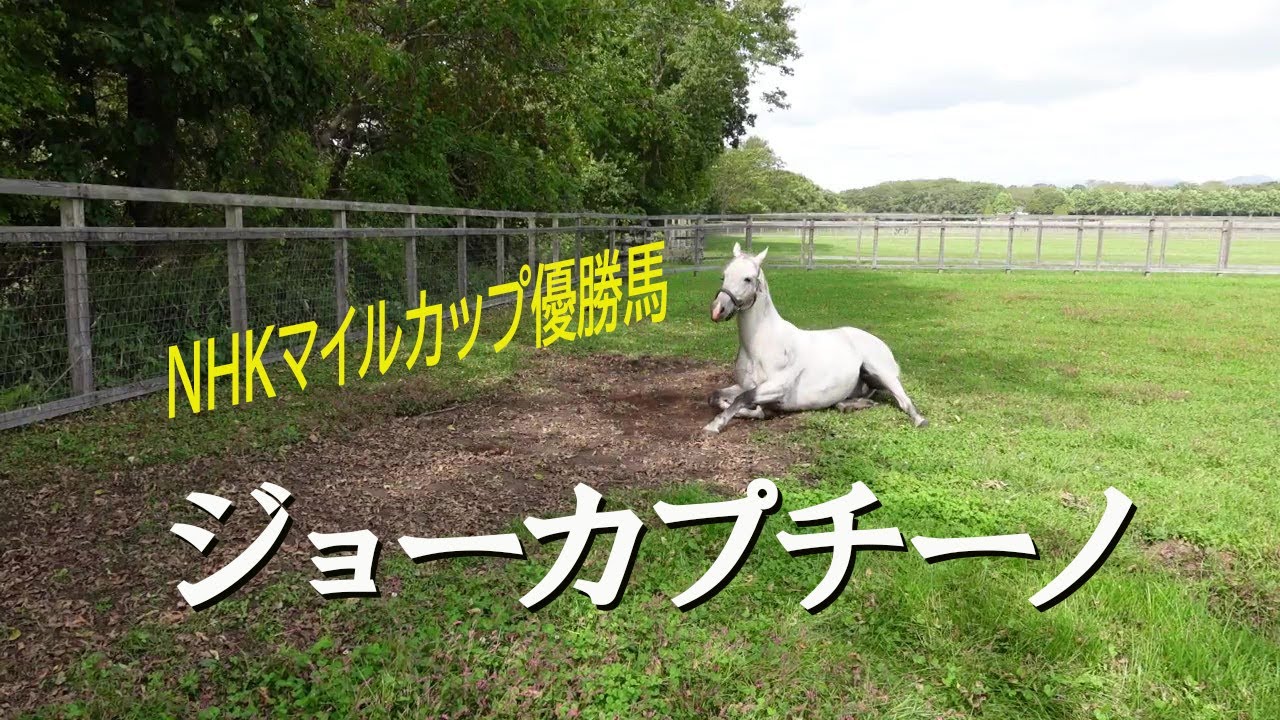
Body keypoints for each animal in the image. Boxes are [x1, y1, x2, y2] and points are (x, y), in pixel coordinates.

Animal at [703, 243, 929, 434]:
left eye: (748, 278)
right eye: (724, 276)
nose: (717, 310)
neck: (759, 346)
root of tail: (880, 343)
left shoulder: (777, 387)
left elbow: (744, 398)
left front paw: (714, 425)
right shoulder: (744, 385)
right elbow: (717, 396)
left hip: (882, 373)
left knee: (905, 403)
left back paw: (919, 420)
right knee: (848, 402)